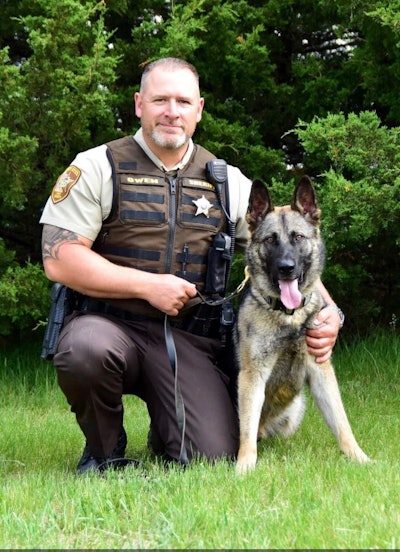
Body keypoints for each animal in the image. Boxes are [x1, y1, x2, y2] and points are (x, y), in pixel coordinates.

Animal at [234, 176, 368, 474]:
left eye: (298, 237)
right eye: (270, 240)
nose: (286, 267)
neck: (289, 315)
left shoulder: (321, 371)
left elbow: (342, 421)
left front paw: (358, 457)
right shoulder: (253, 376)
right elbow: (246, 431)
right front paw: (245, 465)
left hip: (294, 410)